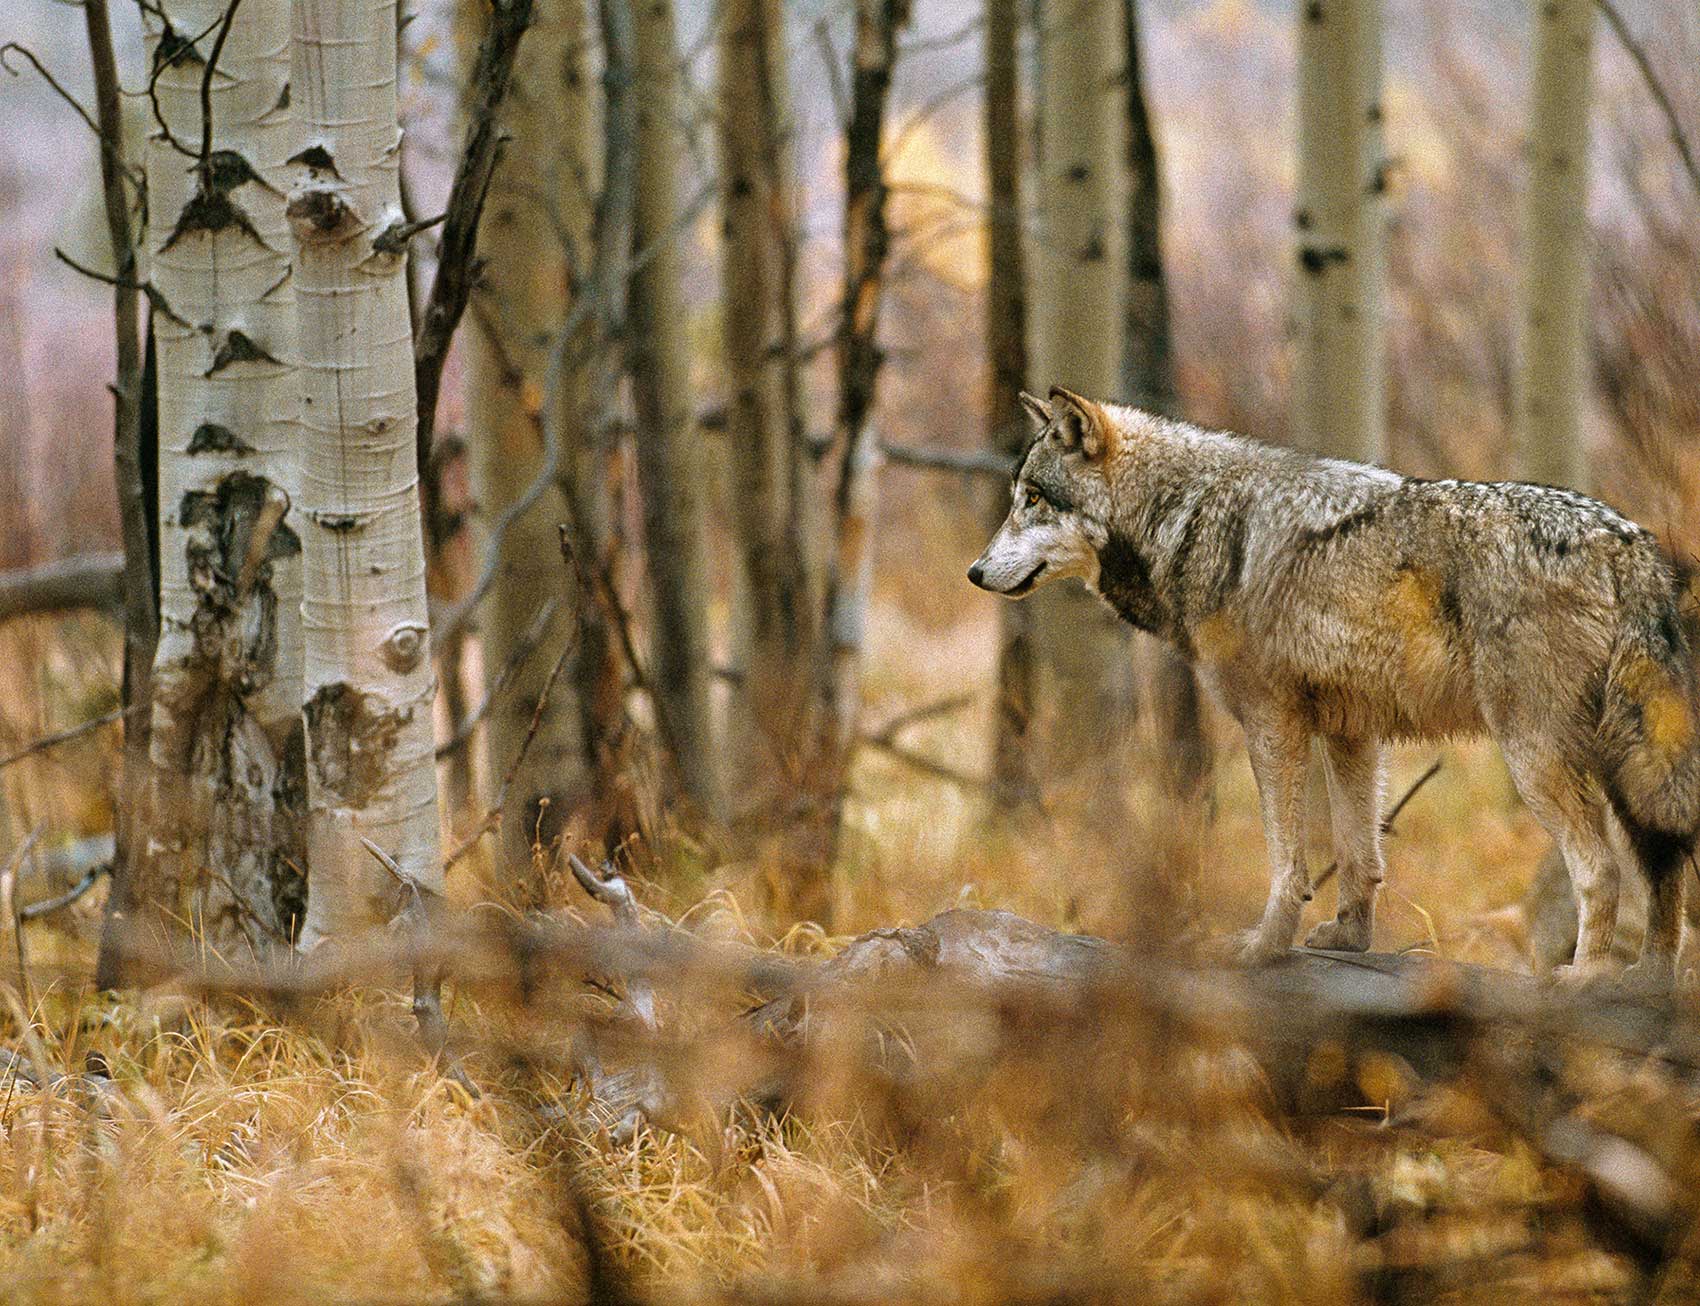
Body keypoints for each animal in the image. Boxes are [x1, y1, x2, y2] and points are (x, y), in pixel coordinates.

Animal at [972, 392, 1700, 986]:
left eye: (1033, 499)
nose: (976, 573)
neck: (1189, 517)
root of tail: (1628, 540)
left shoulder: (1271, 723)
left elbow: (1286, 861)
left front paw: (1262, 947)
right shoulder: (1353, 732)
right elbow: (1358, 853)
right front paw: (1348, 938)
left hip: (1539, 758)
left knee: (1602, 871)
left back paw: (1585, 978)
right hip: (1623, 768)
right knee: (1663, 868)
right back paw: (1648, 980)